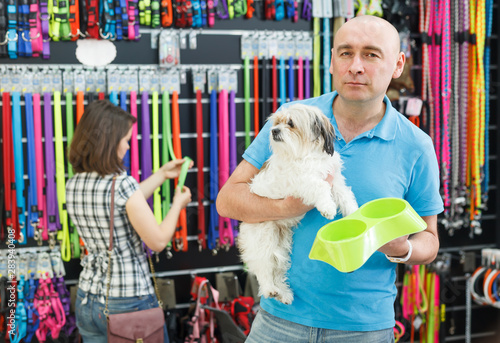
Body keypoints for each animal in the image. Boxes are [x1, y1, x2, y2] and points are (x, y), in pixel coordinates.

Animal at [237, 103, 358, 306]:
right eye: (277, 123)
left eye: (291, 123)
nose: (274, 130)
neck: (307, 154)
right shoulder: (302, 181)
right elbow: (319, 186)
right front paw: (327, 207)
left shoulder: (334, 180)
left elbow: (344, 195)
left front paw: (354, 211)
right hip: (264, 237)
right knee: (264, 268)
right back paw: (270, 289)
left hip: (282, 246)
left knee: (278, 269)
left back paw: (283, 293)